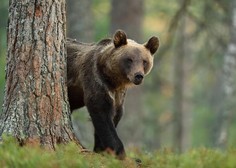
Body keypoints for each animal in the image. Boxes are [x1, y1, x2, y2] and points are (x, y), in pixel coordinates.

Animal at [65, 29, 159, 159]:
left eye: (144, 61)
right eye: (129, 59)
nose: (138, 76)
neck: (113, 80)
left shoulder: (119, 94)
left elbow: (115, 114)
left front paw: (101, 150)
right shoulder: (96, 80)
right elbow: (101, 111)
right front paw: (121, 154)